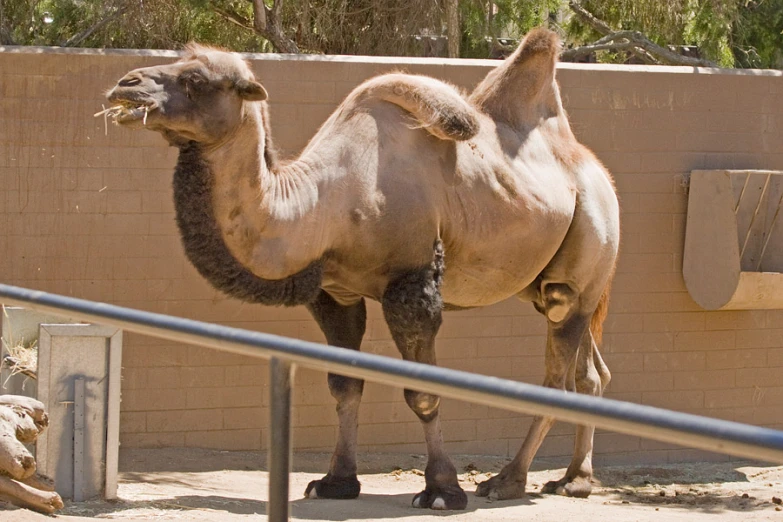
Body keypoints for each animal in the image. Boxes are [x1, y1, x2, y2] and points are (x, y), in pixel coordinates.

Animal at [102, 27, 620, 508]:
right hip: (550, 286)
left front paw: (442, 489)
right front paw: (336, 481)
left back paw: (507, 481)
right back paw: (574, 480)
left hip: (584, 255)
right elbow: (344, 386)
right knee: (589, 372)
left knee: (557, 375)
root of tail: (599, 174)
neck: (326, 203)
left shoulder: (412, 283)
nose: (125, 85)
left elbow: (422, 392)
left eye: (196, 79)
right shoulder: (336, 292)